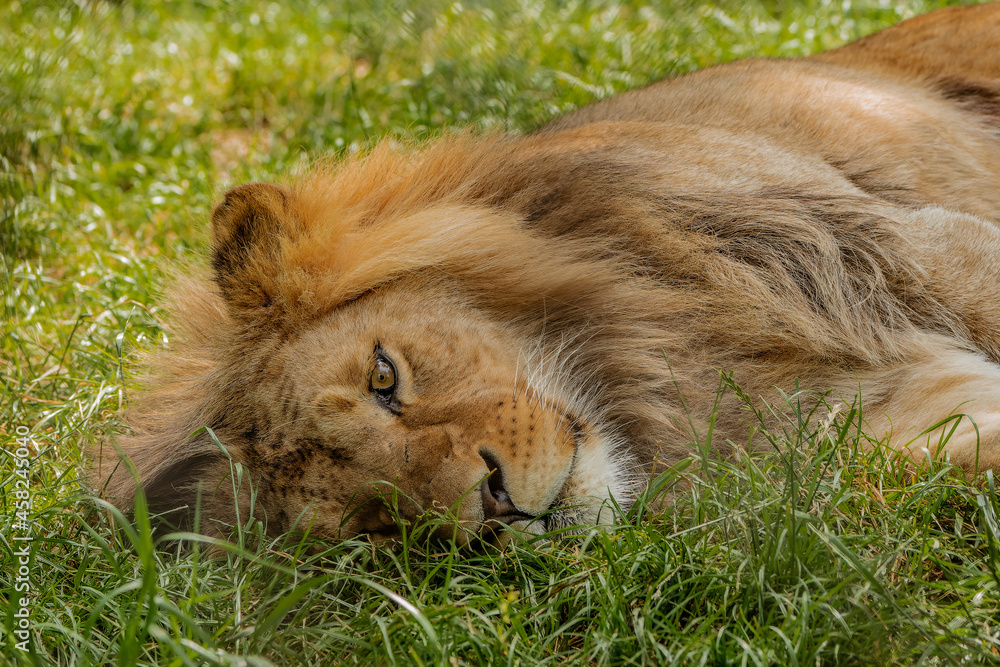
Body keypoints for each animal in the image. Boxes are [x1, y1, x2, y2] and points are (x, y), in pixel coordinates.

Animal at [94, 4, 1000, 545]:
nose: (495, 505)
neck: (663, 370)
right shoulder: (872, 430)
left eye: (385, 377)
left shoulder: (909, 245)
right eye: (371, 521)